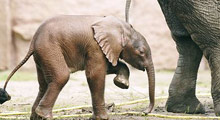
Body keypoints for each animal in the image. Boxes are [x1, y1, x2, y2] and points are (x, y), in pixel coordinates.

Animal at [0, 15, 155, 119]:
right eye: (141, 52)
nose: (144, 112)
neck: (120, 27)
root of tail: (33, 41)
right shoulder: (95, 47)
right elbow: (95, 74)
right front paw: (103, 118)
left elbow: (109, 67)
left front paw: (121, 83)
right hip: (49, 49)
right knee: (61, 76)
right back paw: (44, 115)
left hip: (41, 55)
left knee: (43, 84)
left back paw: (36, 116)